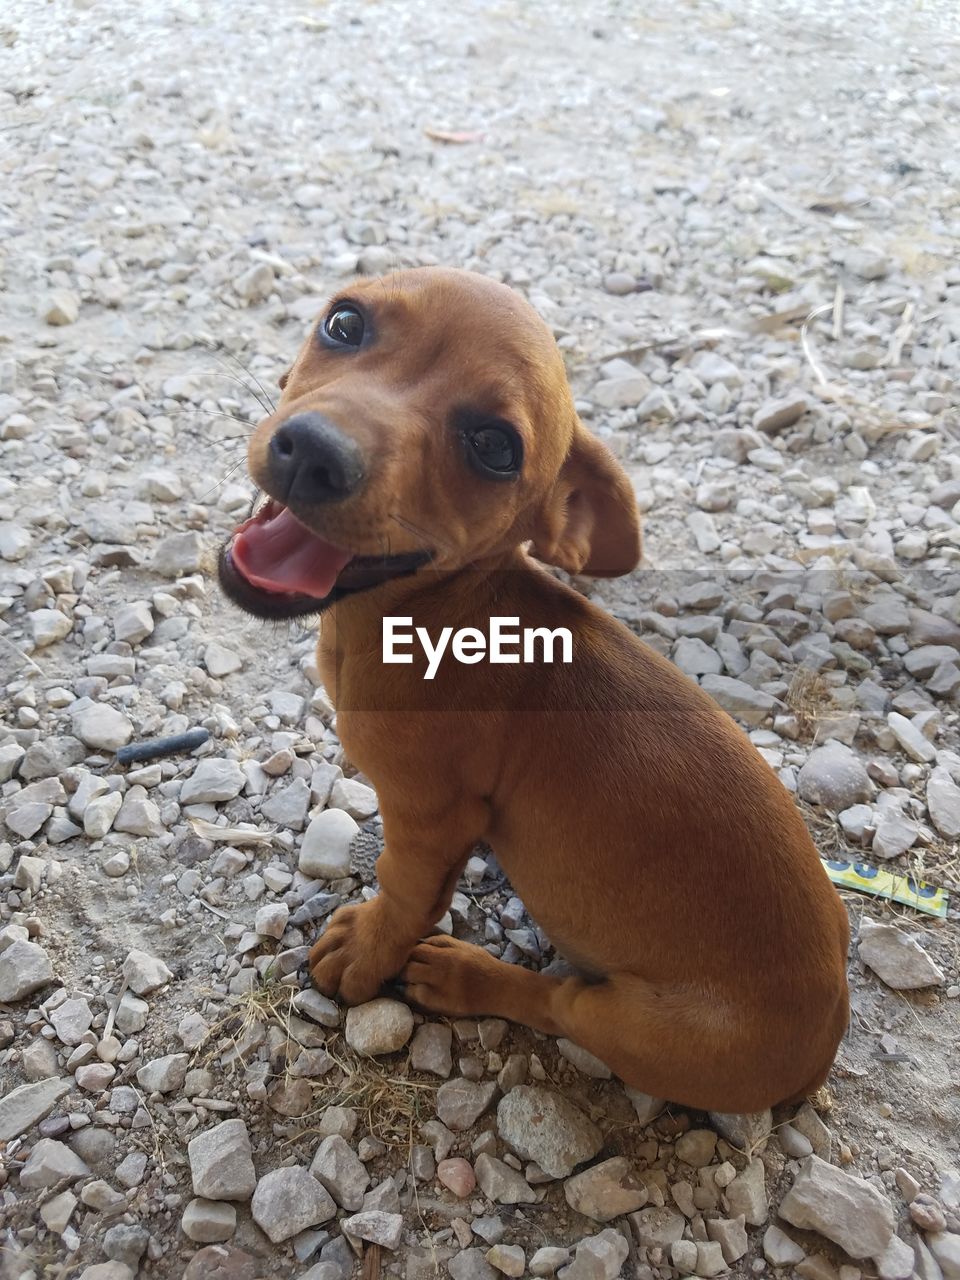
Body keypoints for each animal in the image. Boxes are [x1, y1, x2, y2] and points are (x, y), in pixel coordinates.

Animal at [220, 267, 849, 1111]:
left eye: (494, 448)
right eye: (344, 323)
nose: (313, 452)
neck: (439, 610)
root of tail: (826, 1040)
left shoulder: (430, 816)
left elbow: (403, 895)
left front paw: (369, 955)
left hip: (640, 1023)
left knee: (560, 1003)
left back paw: (467, 976)